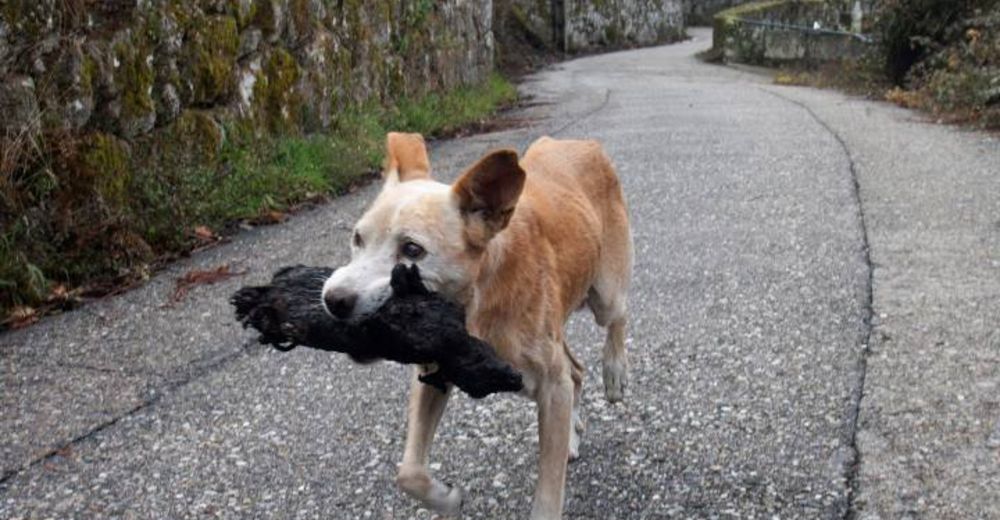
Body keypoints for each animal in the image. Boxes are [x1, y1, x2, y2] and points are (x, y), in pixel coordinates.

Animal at [320, 132, 632, 516]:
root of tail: (579, 142)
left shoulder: (550, 384)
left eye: (412, 250)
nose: (334, 300)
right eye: (357, 239)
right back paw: (572, 434)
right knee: (575, 371)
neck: (477, 305)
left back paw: (614, 371)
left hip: (605, 294)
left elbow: (547, 496)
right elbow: (409, 473)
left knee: (617, 317)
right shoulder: (432, 374)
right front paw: (447, 499)